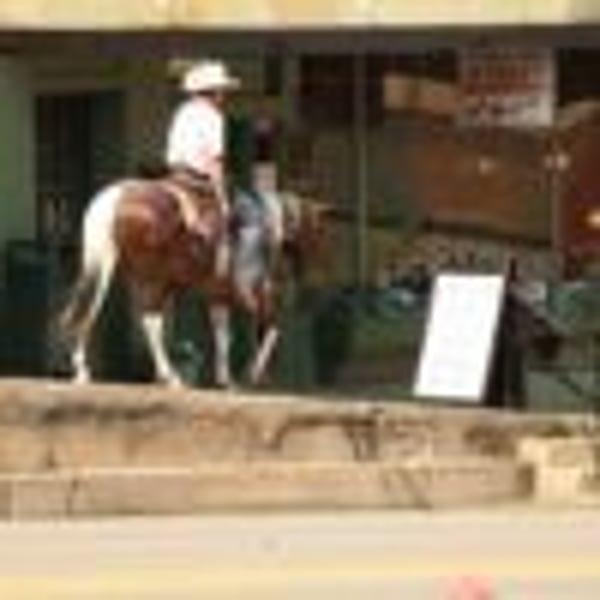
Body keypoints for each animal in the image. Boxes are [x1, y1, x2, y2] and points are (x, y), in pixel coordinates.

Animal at [58, 176, 329, 389]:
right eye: (318, 233)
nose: (307, 276)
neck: (269, 225)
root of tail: (115, 197)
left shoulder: (217, 295)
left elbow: (224, 336)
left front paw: (225, 379)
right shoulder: (252, 291)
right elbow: (272, 326)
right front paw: (252, 373)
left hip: (121, 270)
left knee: (92, 311)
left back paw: (83, 371)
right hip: (152, 278)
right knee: (148, 322)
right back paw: (169, 377)